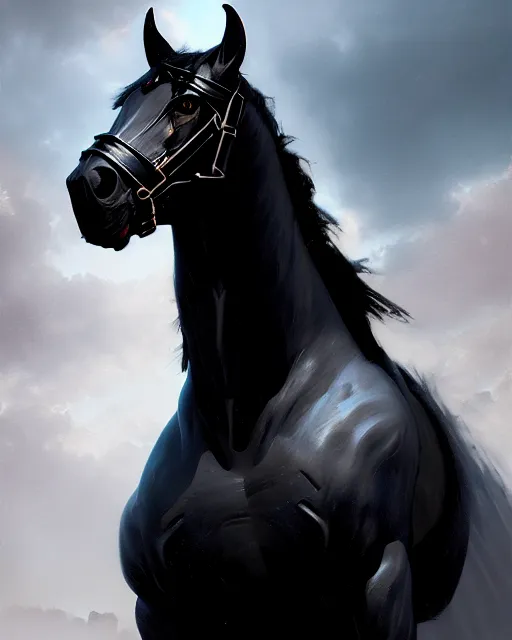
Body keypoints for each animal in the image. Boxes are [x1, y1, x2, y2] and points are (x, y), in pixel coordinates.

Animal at [66, 6, 512, 639]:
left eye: (187, 104)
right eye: (124, 104)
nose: (89, 188)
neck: (244, 427)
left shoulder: (380, 587)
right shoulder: (164, 609)